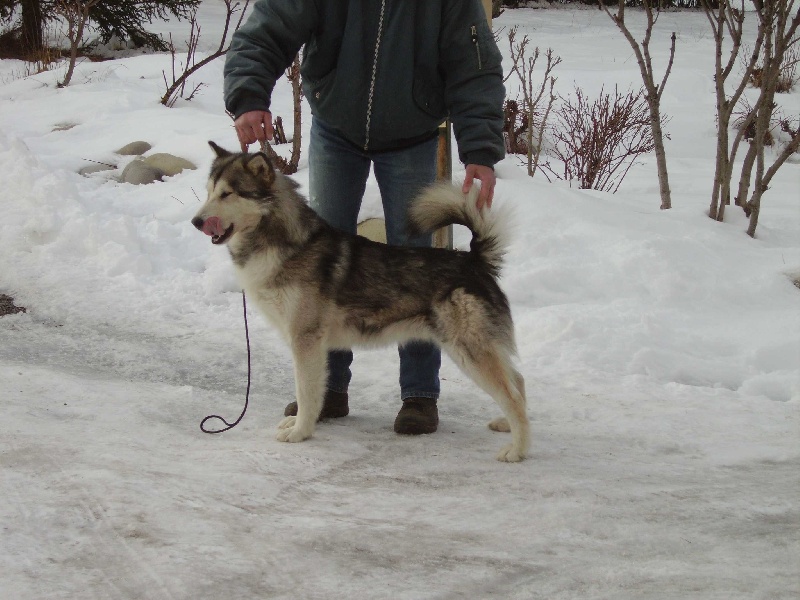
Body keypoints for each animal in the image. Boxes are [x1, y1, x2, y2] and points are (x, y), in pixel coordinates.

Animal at [192, 143, 532, 462]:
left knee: (513, 395)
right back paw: (507, 425)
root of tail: (474, 260)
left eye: (227, 194)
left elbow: (306, 392)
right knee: (518, 381)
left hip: (470, 351)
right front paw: (303, 423)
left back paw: (517, 450)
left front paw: (300, 432)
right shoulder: (315, 345)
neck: (284, 242)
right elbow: (315, 391)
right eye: (209, 191)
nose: (196, 221)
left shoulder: (305, 340)